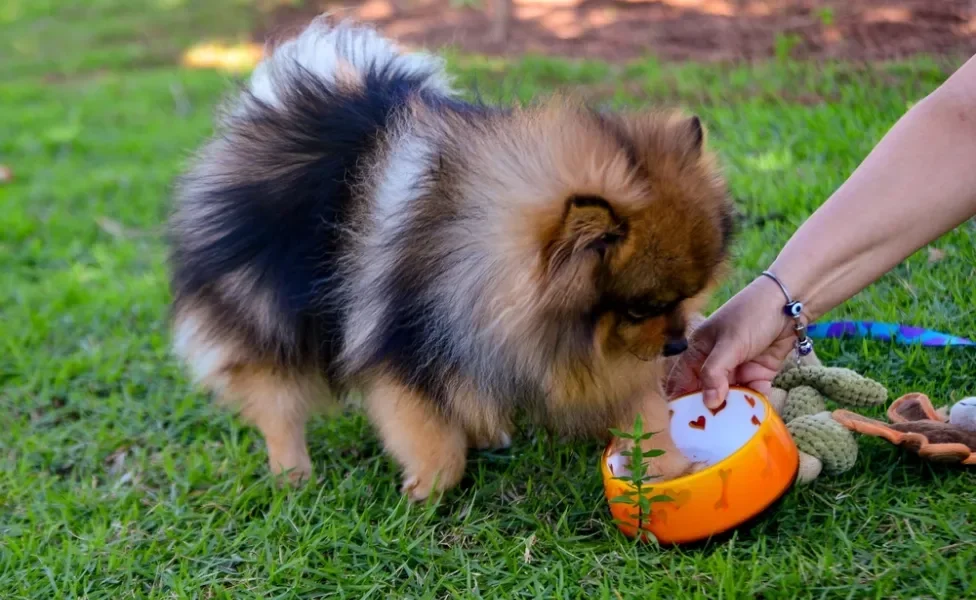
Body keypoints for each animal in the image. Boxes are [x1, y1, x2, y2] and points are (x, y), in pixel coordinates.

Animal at [168, 16, 732, 500]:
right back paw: (293, 473)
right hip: (266, 315)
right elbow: (430, 437)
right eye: (640, 308)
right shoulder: (405, 353)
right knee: (276, 401)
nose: (679, 344)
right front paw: (427, 490)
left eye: (687, 298)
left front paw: (672, 468)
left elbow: (644, 414)